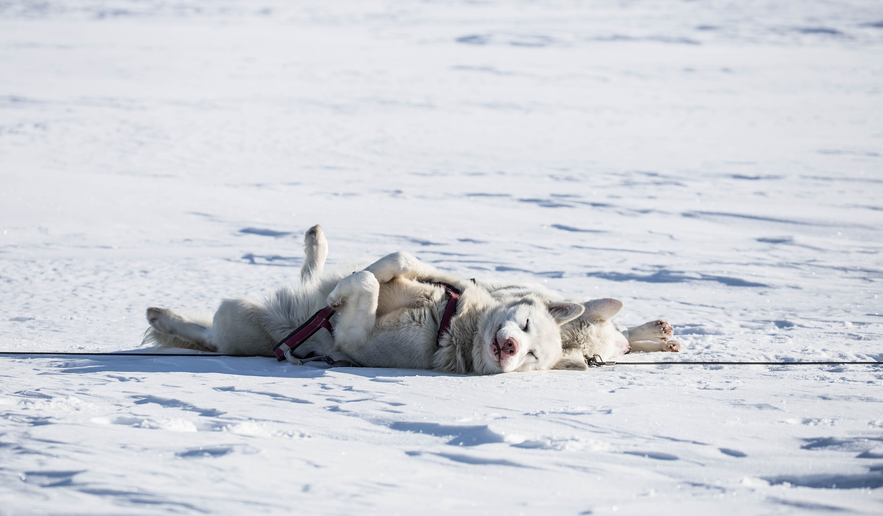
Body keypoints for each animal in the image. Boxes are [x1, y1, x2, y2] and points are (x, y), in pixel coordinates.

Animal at [147, 224, 676, 372]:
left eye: (530, 358)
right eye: (525, 328)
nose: (508, 349)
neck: (450, 323)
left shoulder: (360, 343)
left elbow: (361, 290)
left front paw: (344, 295)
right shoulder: (443, 279)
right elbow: (396, 261)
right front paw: (358, 278)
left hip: (237, 317)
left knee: (211, 335)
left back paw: (164, 317)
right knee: (311, 276)